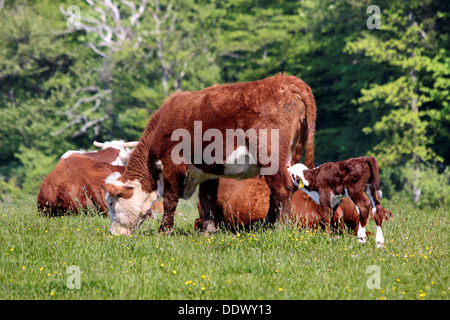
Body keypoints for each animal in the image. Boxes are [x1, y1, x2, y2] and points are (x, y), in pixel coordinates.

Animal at [104, 74, 316, 235]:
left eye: (112, 203)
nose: (113, 233)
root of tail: (287, 81)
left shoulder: (172, 166)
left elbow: (170, 200)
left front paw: (164, 231)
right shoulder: (209, 172)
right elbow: (207, 199)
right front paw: (209, 230)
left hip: (271, 157)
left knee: (282, 188)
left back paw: (279, 227)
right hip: (292, 154)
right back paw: (267, 225)